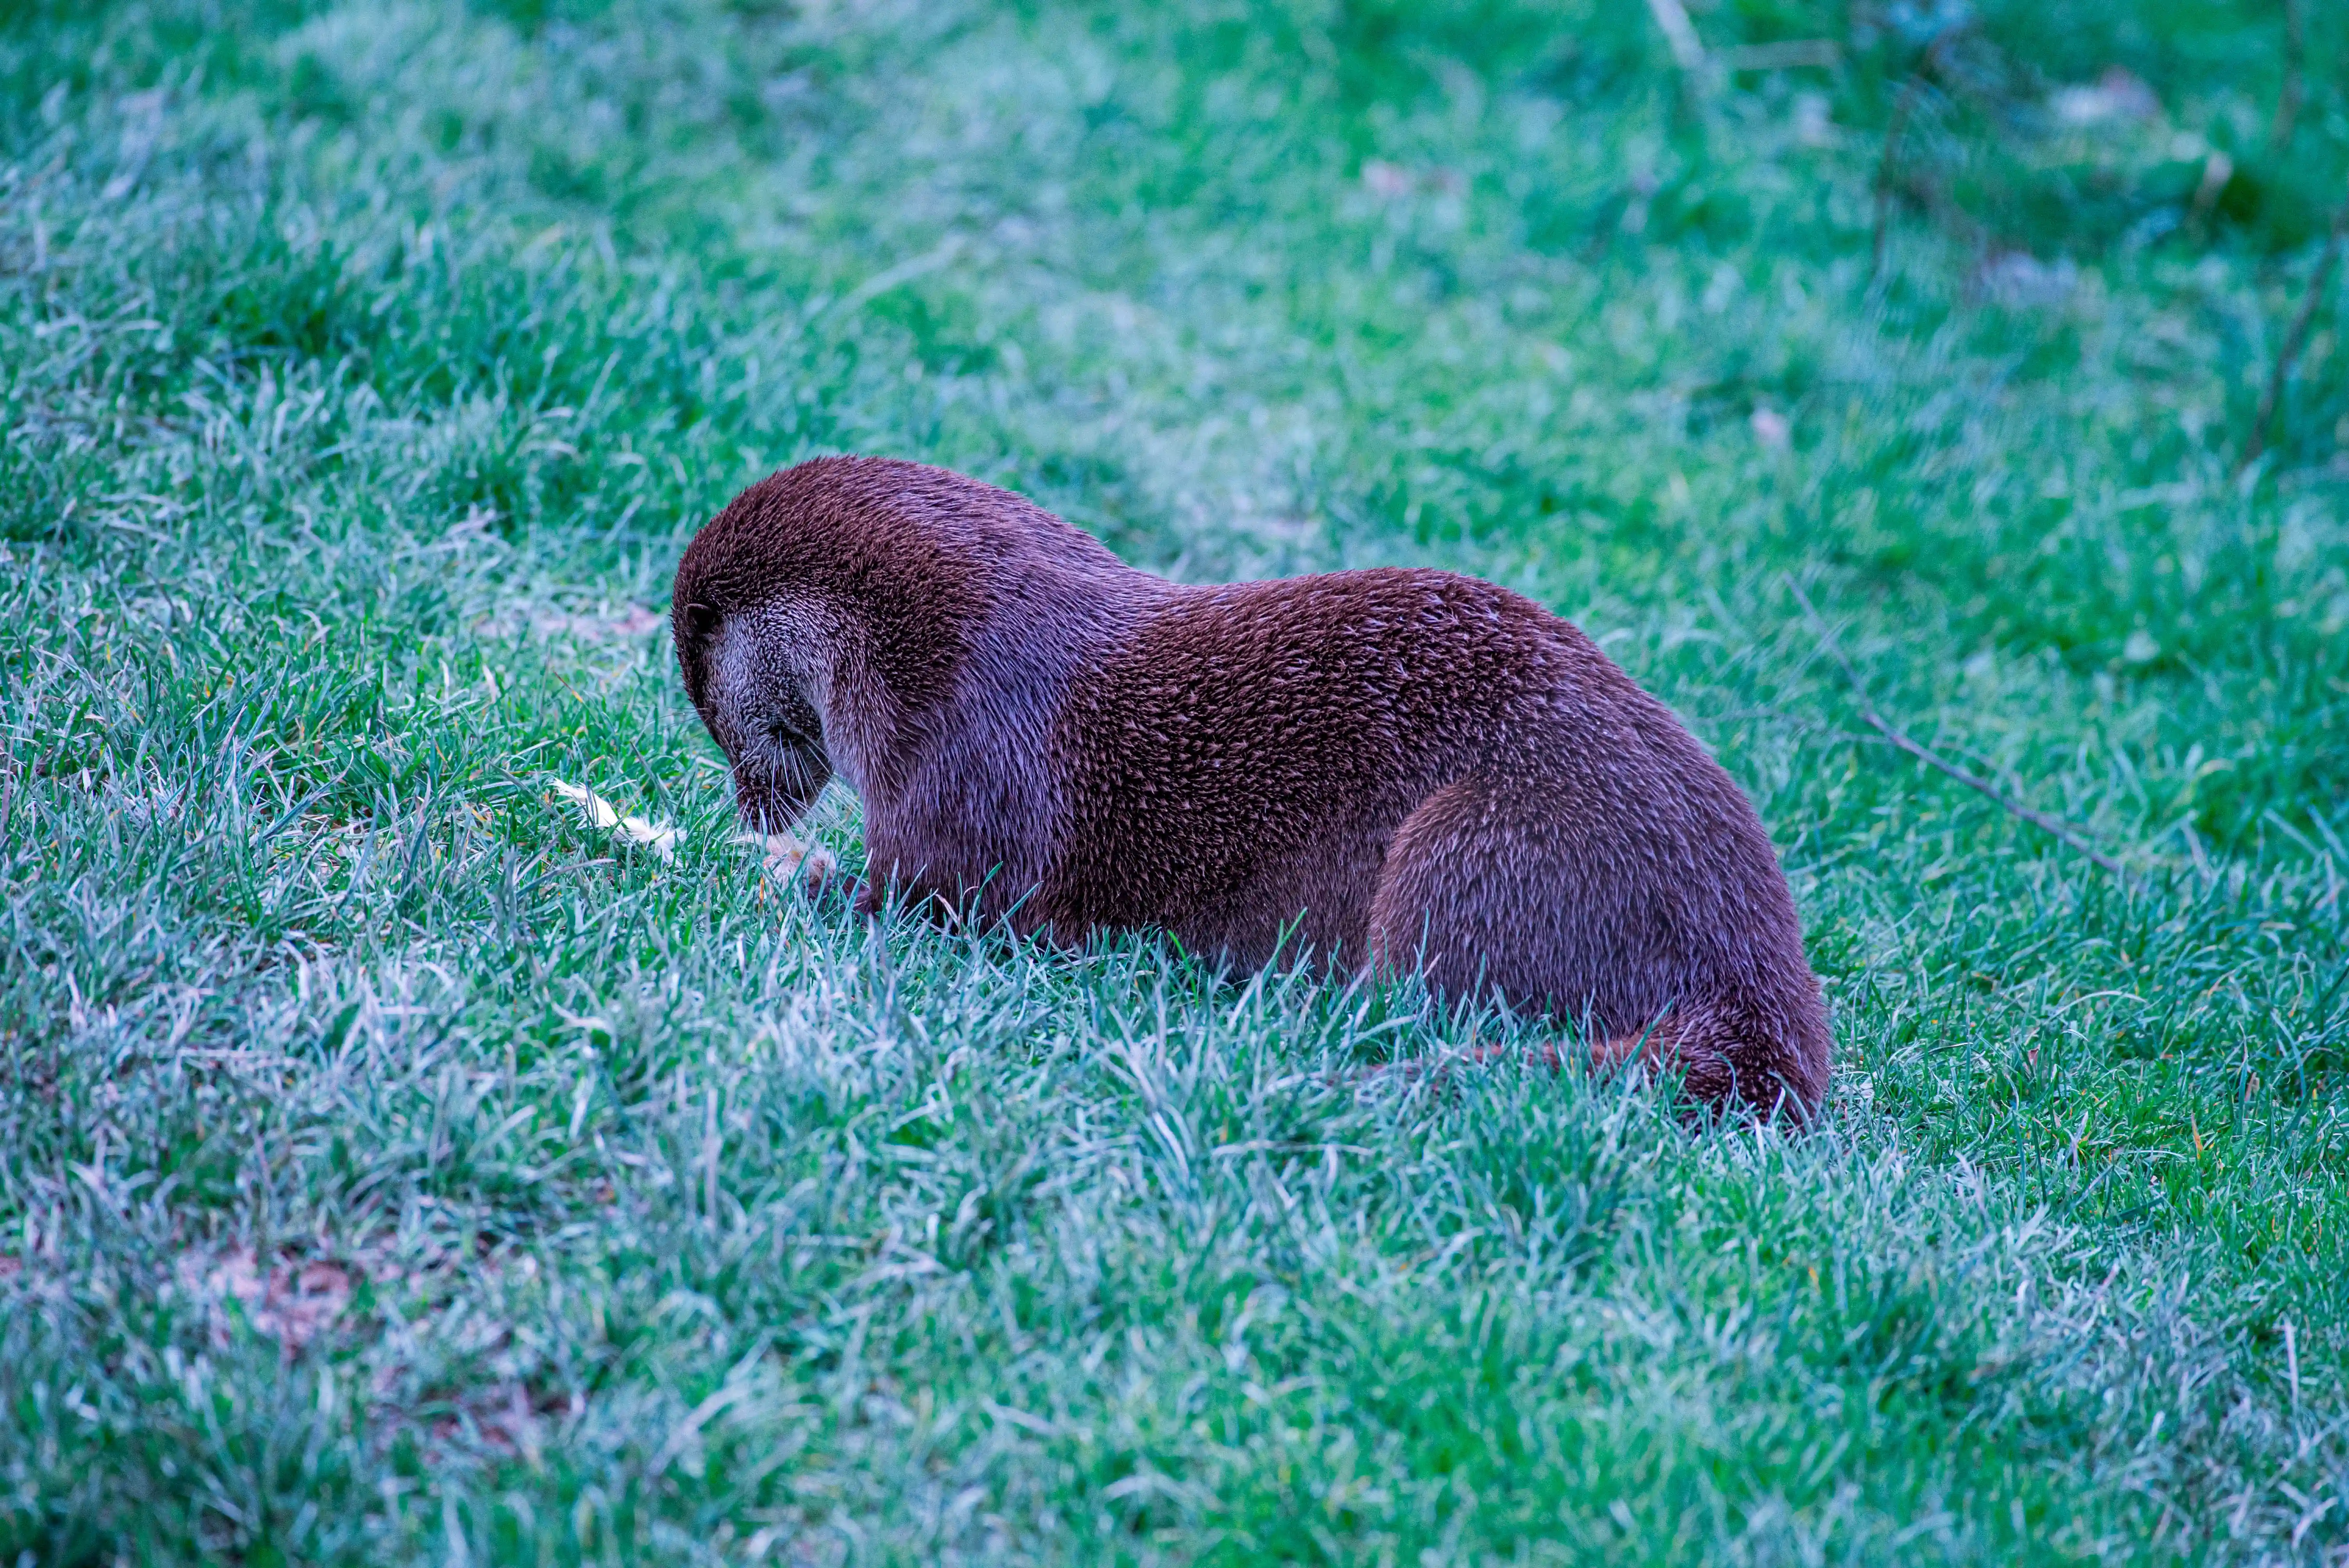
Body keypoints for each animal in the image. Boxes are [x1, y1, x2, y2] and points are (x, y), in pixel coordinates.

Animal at [672, 456, 1830, 1116]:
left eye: (710, 712)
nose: (748, 801)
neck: (932, 645)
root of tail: (1757, 982)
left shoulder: (965, 777)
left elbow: (917, 899)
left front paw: (767, 866)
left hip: (1488, 848)